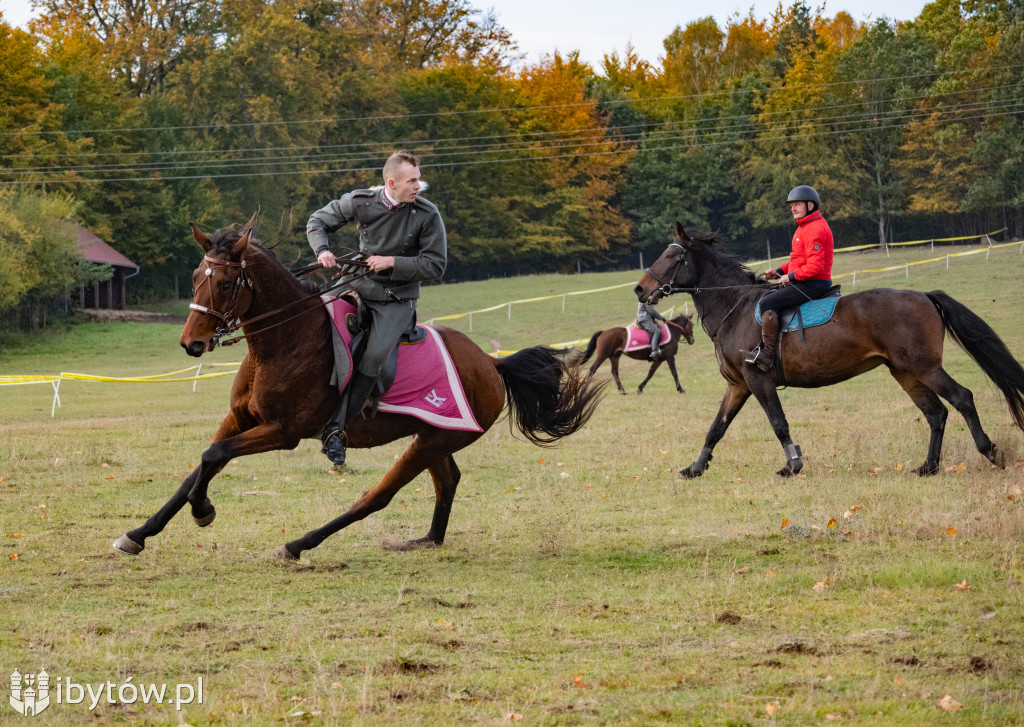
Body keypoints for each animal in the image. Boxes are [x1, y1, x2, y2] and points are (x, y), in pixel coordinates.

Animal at [115, 218, 602, 565]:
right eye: (196, 276)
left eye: (224, 283)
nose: (191, 343)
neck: (284, 340)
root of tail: (490, 363)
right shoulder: (240, 419)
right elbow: (200, 466)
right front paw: (139, 534)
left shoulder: (282, 432)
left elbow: (213, 457)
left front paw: (202, 511)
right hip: (433, 436)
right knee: (447, 481)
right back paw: (425, 541)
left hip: (431, 441)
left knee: (377, 497)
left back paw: (298, 545)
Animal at [630, 225, 1024, 481]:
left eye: (672, 256)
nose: (639, 289)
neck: (734, 306)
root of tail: (924, 295)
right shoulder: (738, 386)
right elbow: (716, 428)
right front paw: (695, 468)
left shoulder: (758, 380)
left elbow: (778, 422)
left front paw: (793, 465)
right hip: (905, 371)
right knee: (936, 413)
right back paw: (929, 467)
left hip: (924, 367)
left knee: (962, 398)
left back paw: (990, 451)